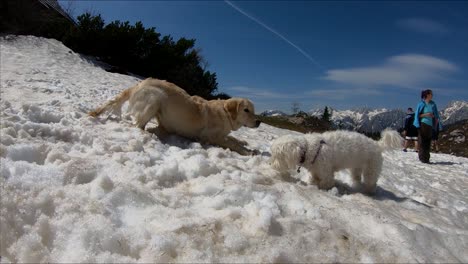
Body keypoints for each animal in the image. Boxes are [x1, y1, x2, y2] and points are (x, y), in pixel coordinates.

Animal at [89, 78, 262, 155]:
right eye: (246, 110)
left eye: (254, 110)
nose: (259, 122)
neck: (225, 114)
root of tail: (139, 84)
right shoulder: (211, 136)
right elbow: (231, 142)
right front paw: (248, 151)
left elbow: (233, 138)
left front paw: (244, 141)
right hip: (155, 98)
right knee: (137, 126)